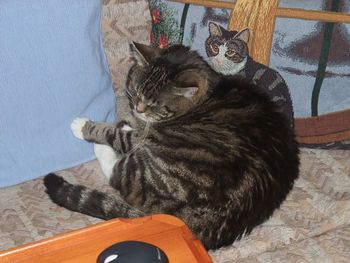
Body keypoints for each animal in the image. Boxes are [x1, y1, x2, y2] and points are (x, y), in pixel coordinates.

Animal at [43, 42, 300, 250]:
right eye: (135, 92)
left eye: (156, 105)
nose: (138, 109)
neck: (209, 92)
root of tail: (192, 226)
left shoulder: (148, 136)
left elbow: (117, 135)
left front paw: (87, 126)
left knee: (119, 175)